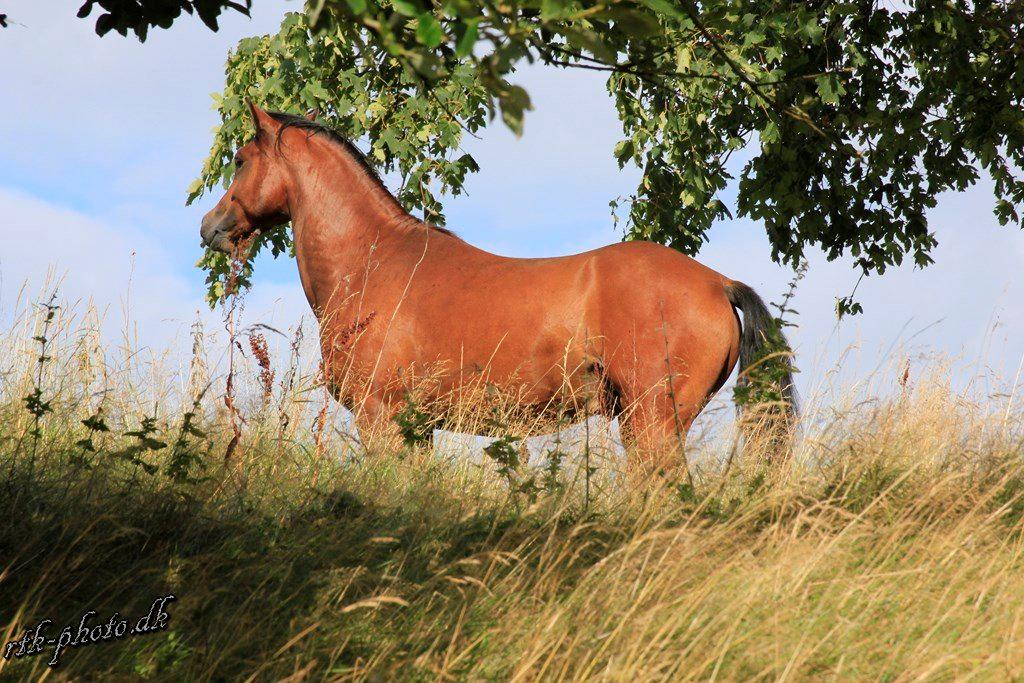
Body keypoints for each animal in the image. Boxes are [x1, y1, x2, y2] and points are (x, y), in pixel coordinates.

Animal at [200, 103, 796, 466]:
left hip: (651, 425)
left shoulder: (381, 418)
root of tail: (718, 283)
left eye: (241, 159)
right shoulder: (415, 427)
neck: (373, 261)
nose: (211, 227)